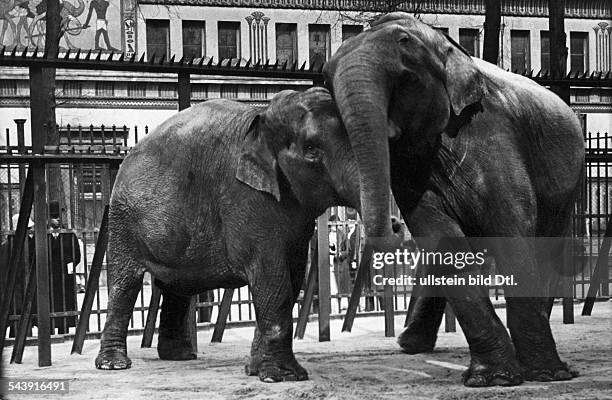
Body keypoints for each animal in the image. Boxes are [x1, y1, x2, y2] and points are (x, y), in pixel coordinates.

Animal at [94, 87, 358, 382]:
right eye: (311, 149)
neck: (262, 121)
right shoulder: (245, 198)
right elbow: (272, 275)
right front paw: (282, 377)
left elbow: (293, 276)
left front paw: (255, 370)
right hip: (122, 219)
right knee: (125, 284)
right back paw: (114, 365)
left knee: (175, 286)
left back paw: (180, 356)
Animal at [322, 13, 584, 388]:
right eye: (327, 81)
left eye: (408, 76)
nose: (393, 225)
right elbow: (440, 239)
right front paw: (495, 378)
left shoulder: (494, 136)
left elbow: (511, 231)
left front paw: (547, 374)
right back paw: (410, 344)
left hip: (569, 181)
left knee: (547, 242)